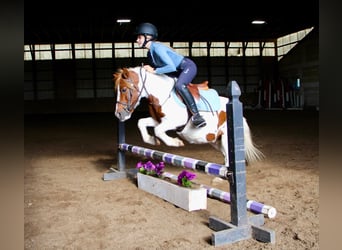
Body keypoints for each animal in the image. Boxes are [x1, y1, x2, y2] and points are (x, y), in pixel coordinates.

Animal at [113, 66, 264, 166]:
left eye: (124, 89)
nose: (118, 114)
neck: (162, 93)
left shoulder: (174, 122)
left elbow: (158, 130)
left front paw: (175, 142)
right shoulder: (159, 120)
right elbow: (142, 123)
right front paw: (152, 140)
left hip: (226, 138)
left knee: (229, 159)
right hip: (215, 140)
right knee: (225, 156)